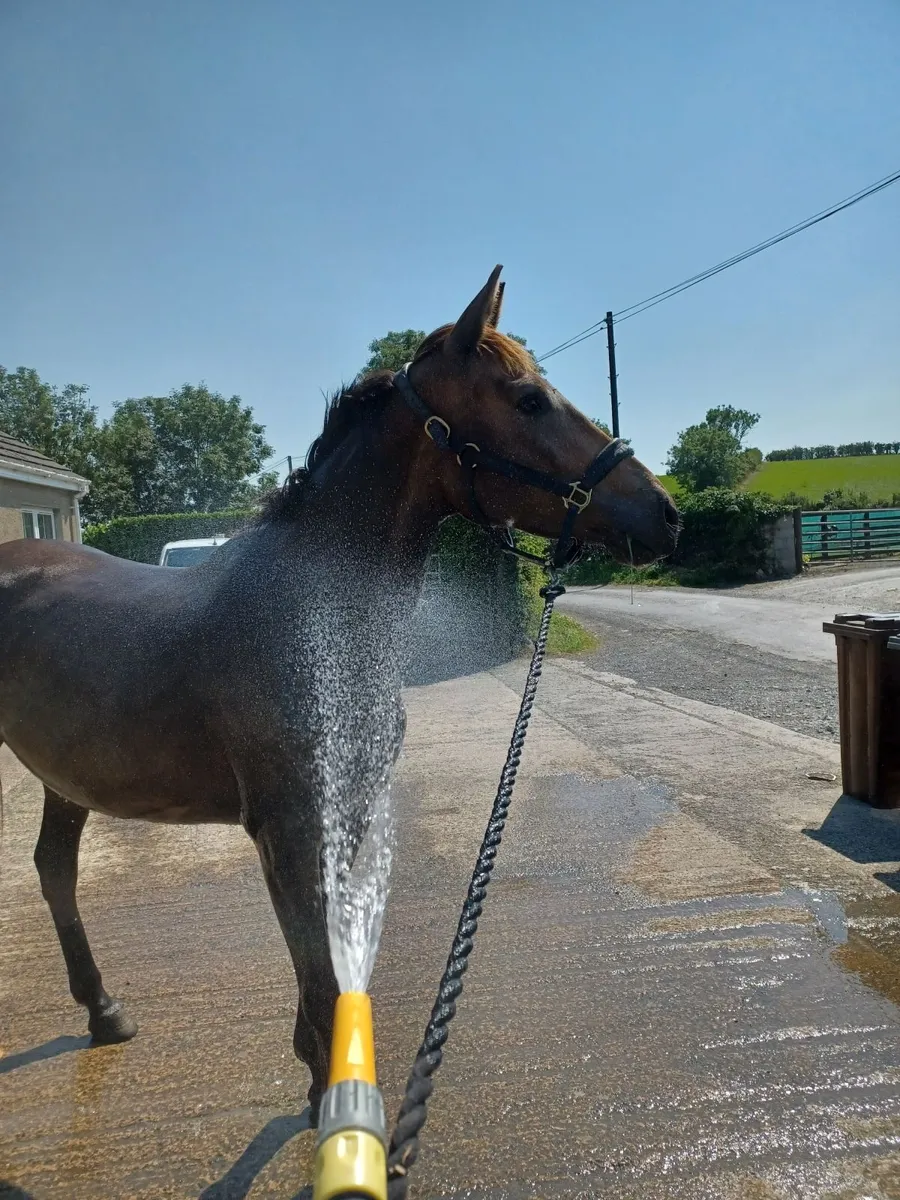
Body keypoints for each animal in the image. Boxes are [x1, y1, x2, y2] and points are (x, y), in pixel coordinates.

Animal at [0, 267, 678, 1117]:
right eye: (528, 399)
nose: (666, 513)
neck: (314, 618)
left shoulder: (344, 806)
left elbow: (325, 962)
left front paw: (316, 1066)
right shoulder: (287, 824)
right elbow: (318, 964)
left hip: (67, 778)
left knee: (54, 870)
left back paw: (104, 1010)